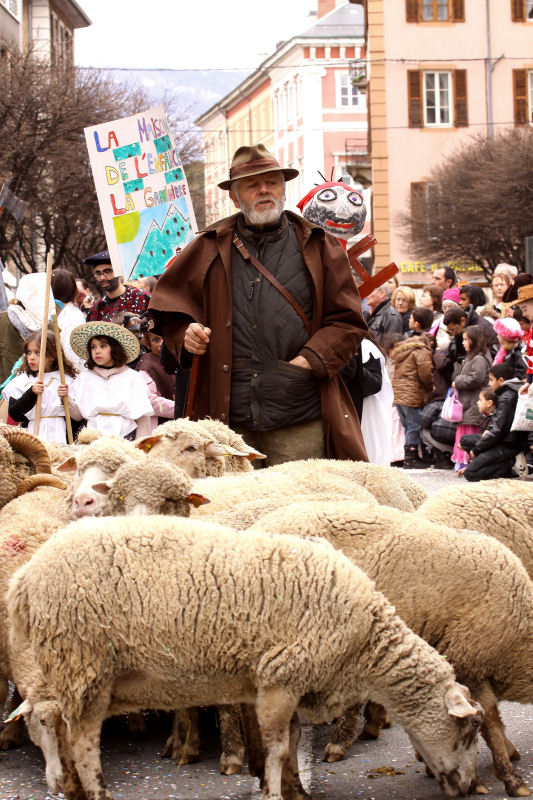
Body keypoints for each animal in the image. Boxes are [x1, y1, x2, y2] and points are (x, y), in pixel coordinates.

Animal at [8, 512, 482, 800]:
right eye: (469, 732)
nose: (469, 786)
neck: (365, 644)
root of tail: (24, 580)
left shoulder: (286, 685)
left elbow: (291, 744)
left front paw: (297, 790)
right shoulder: (279, 678)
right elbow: (276, 748)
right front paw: (274, 791)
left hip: (70, 671)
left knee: (60, 729)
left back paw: (69, 786)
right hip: (83, 664)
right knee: (84, 742)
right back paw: (98, 791)